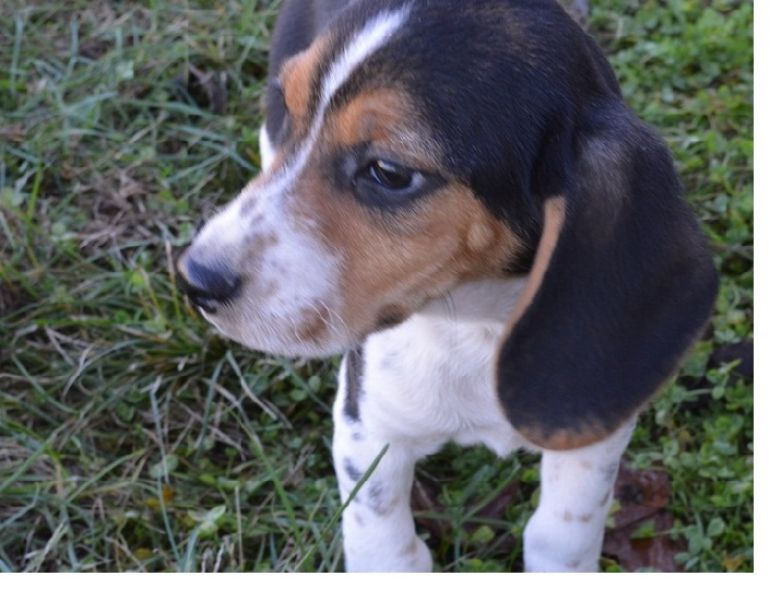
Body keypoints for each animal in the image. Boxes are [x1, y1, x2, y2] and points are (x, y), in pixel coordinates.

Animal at [177, 0, 716, 572]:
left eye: (390, 172)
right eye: (290, 107)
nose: (195, 279)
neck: (477, 320)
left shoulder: (594, 426)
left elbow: (562, 533)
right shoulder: (366, 423)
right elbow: (383, 542)